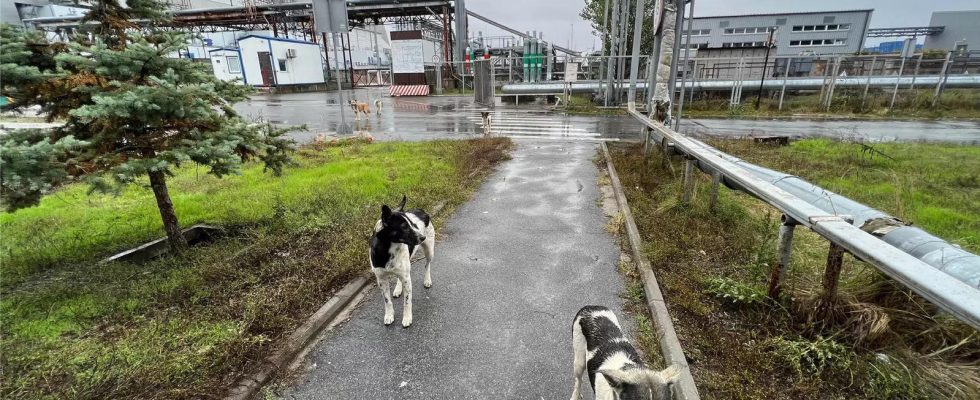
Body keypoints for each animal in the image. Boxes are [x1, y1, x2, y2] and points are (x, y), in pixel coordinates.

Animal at [370, 195, 434, 328]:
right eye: (404, 226)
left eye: (413, 224)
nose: (422, 237)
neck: (388, 249)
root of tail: (421, 210)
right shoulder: (381, 279)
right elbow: (387, 300)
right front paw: (389, 315)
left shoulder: (406, 279)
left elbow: (407, 301)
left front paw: (407, 317)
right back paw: (398, 289)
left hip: (429, 251)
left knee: (427, 265)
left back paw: (427, 280)